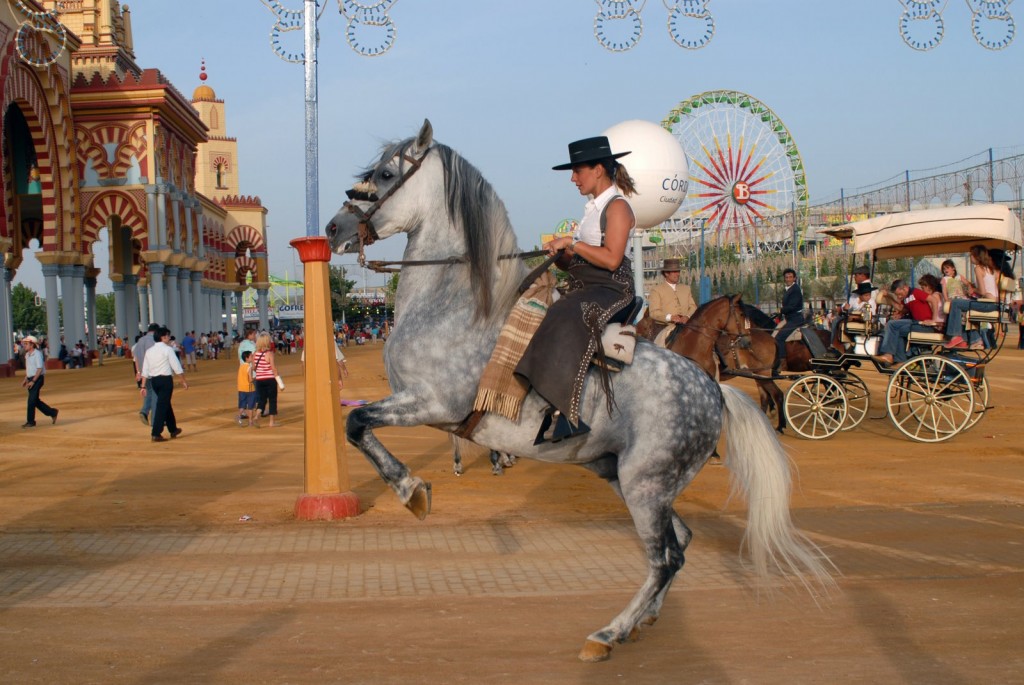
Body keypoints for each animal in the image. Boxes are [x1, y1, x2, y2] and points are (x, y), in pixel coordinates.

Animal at [327, 120, 831, 659]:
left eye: (385, 174)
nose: (334, 228)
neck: (455, 307)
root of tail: (714, 391)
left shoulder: (432, 402)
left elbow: (355, 422)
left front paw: (411, 491)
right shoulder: (428, 409)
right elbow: (359, 425)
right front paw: (417, 486)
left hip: (644, 484)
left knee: (665, 558)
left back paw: (609, 633)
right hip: (630, 478)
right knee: (681, 541)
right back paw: (643, 620)